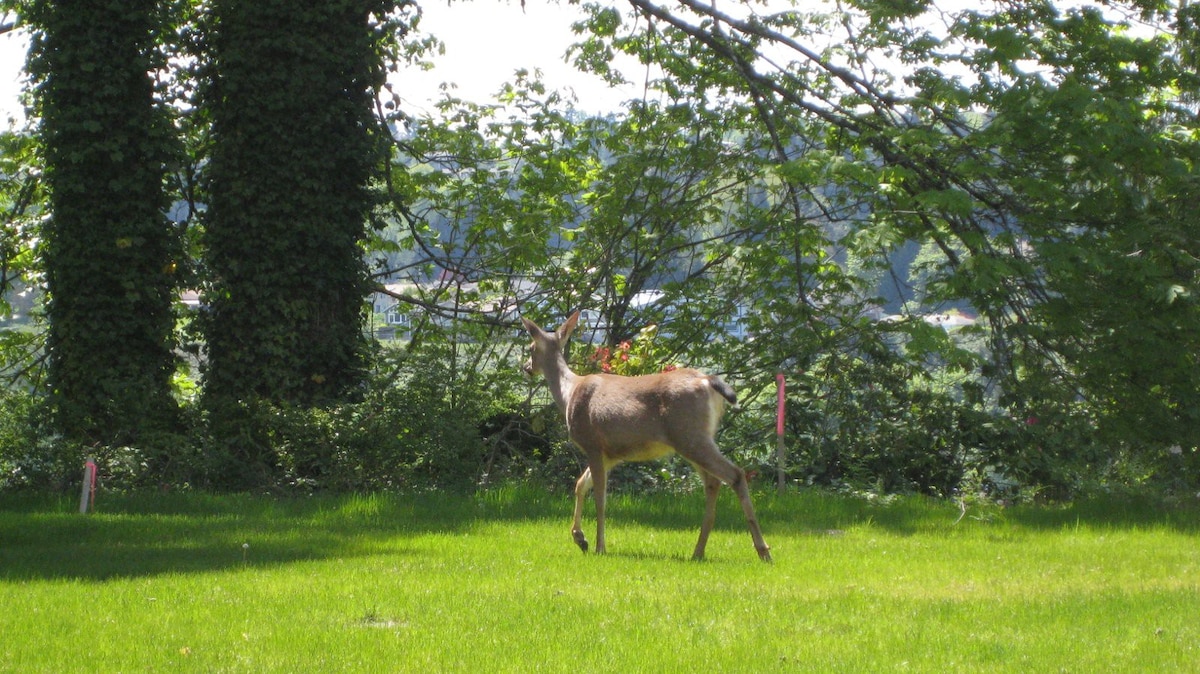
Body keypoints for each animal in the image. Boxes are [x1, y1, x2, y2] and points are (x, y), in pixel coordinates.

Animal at [523, 311, 768, 561]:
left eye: (531, 347)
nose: (526, 367)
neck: (569, 393)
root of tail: (708, 381)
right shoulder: (611, 454)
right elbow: (581, 484)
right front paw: (580, 539)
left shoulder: (593, 443)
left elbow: (600, 499)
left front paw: (600, 547)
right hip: (695, 438)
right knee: (713, 482)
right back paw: (698, 551)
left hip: (689, 435)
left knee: (735, 474)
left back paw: (762, 550)